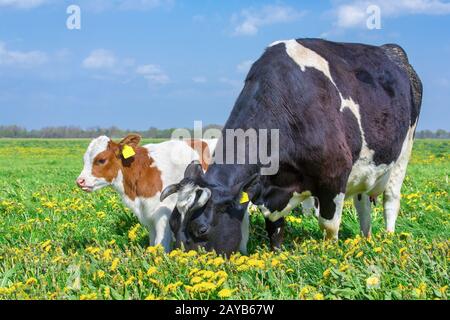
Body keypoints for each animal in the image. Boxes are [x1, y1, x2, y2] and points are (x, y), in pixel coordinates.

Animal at [75, 134, 216, 251]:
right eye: (84, 160)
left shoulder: (164, 213)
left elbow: (161, 244)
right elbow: (153, 243)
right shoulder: (148, 214)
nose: (80, 181)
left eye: (101, 160)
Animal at [162, 38, 422, 256]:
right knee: (363, 204)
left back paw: (387, 237)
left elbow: (329, 226)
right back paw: (364, 238)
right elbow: (274, 227)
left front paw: (331, 254)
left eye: (202, 229)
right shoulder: (269, 188)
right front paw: (278, 256)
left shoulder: (334, 175)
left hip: (404, 152)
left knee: (391, 199)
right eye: (172, 225)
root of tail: (392, 50)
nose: (180, 265)